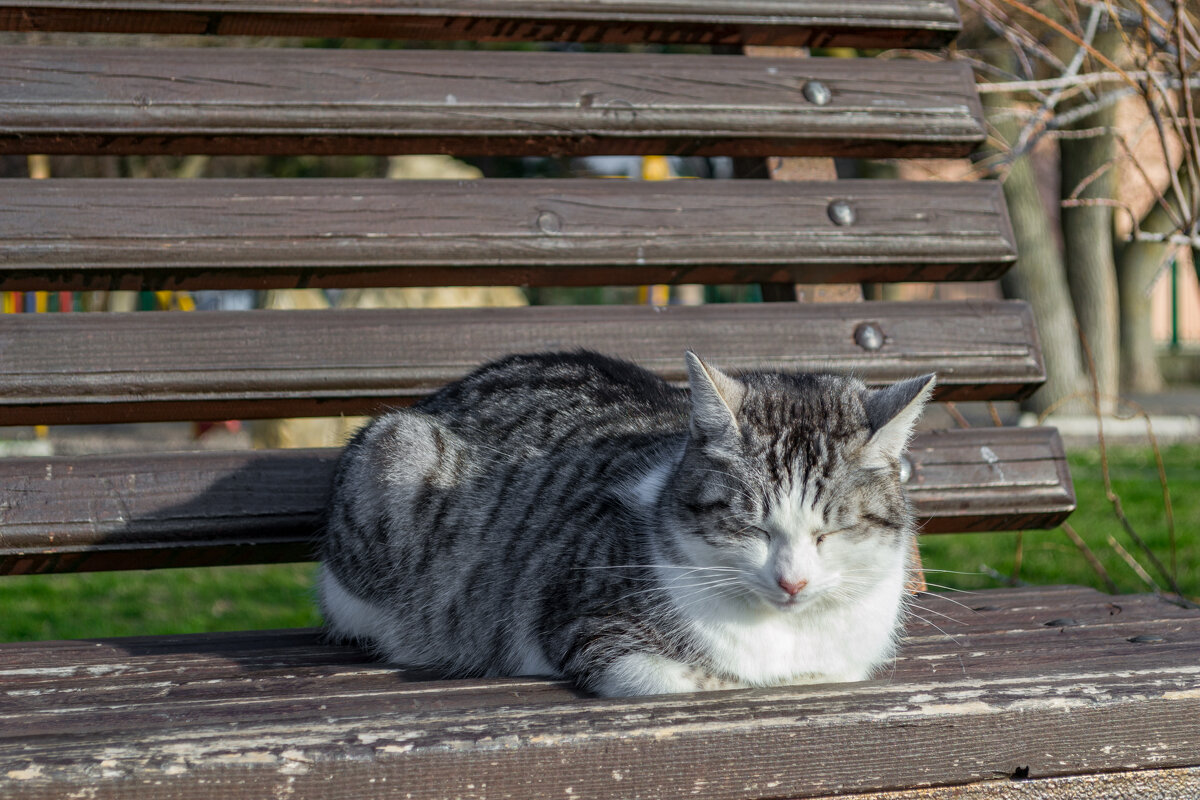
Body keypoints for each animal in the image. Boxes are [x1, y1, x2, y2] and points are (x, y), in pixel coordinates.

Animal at [319, 350, 936, 695]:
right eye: (754, 528)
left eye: (830, 533)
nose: (792, 582)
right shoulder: (579, 618)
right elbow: (670, 679)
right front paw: (721, 677)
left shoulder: (848, 657)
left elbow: (833, 672)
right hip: (397, 454)